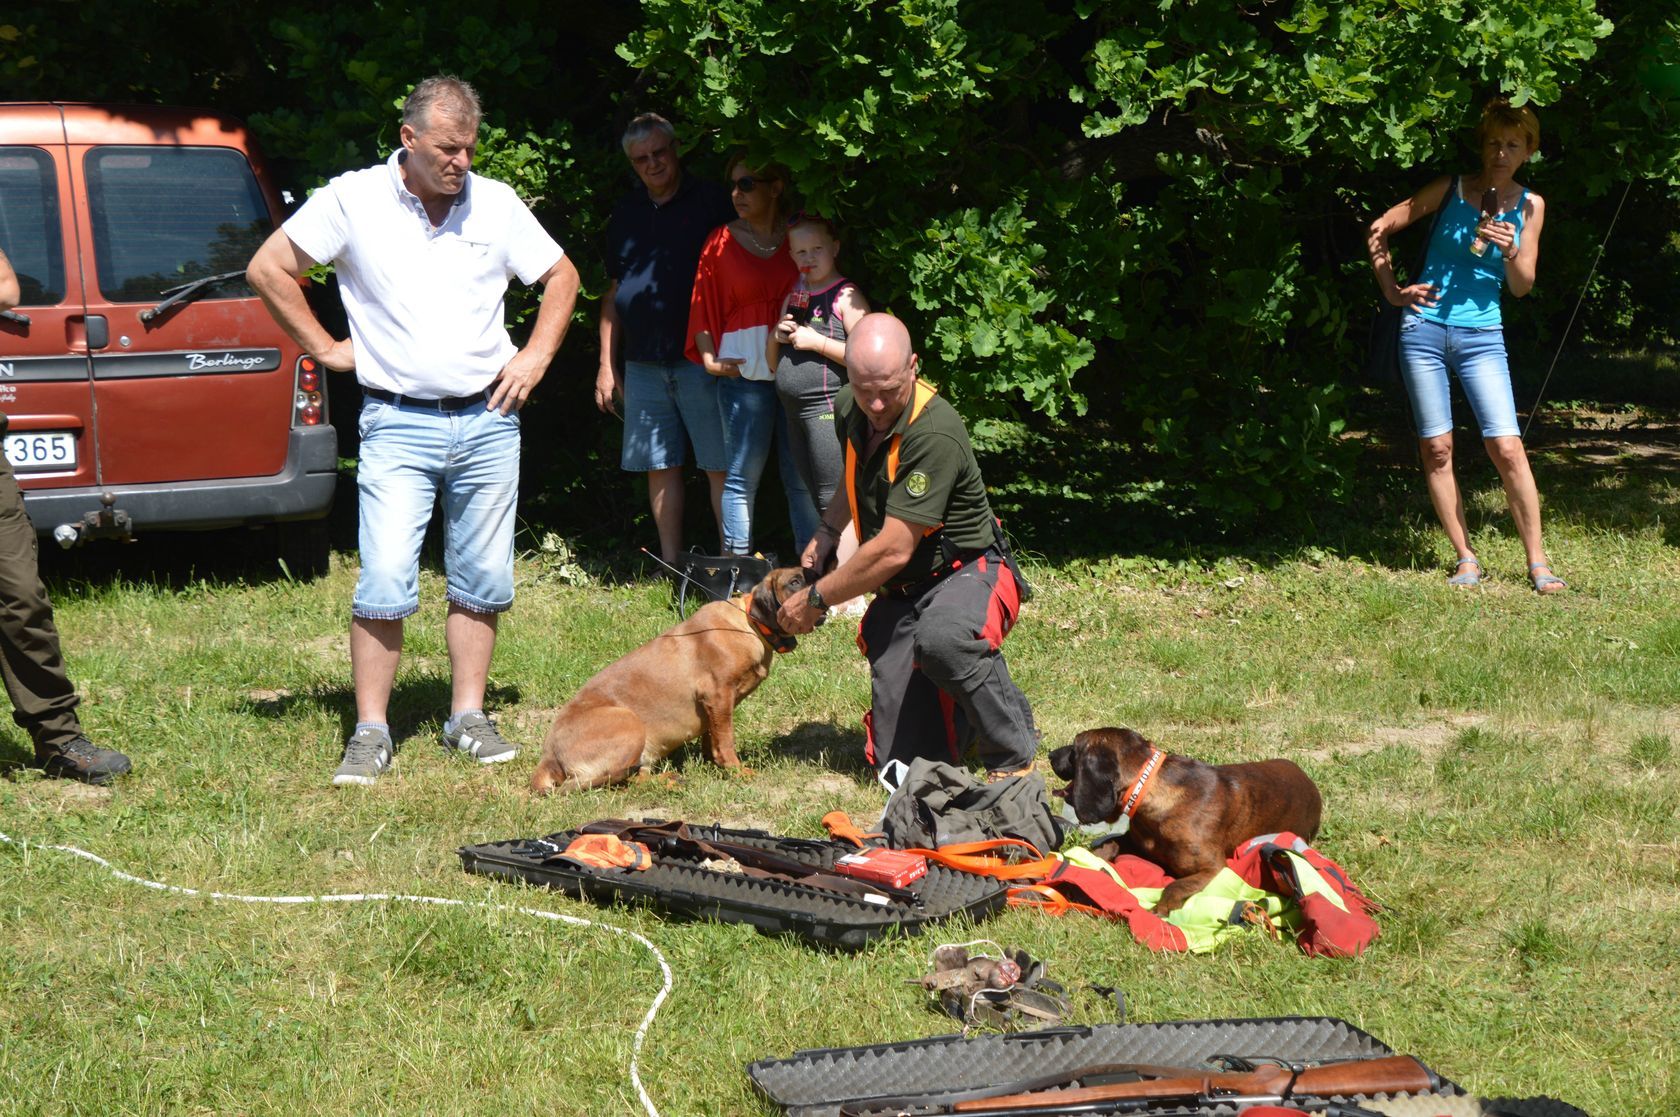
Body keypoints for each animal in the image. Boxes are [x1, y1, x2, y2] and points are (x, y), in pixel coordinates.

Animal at [530, 567, 806, 792]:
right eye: (794, 582)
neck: (749, 624)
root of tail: (548, 757)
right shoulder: (718, 696)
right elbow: (726, 741)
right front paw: (736, 770)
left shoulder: (714, 708)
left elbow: (712, 739)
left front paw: (712, 763)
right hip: (628, 722)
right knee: (604, 781)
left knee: (636, 778)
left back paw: (669, 780)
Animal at [1048, 722, 1323, 913]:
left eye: (1074, 749)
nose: (1050, 754)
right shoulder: (1135, 841)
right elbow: (1109, 843)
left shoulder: (1213, 867)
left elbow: (1175, 885)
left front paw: (1161, 908)